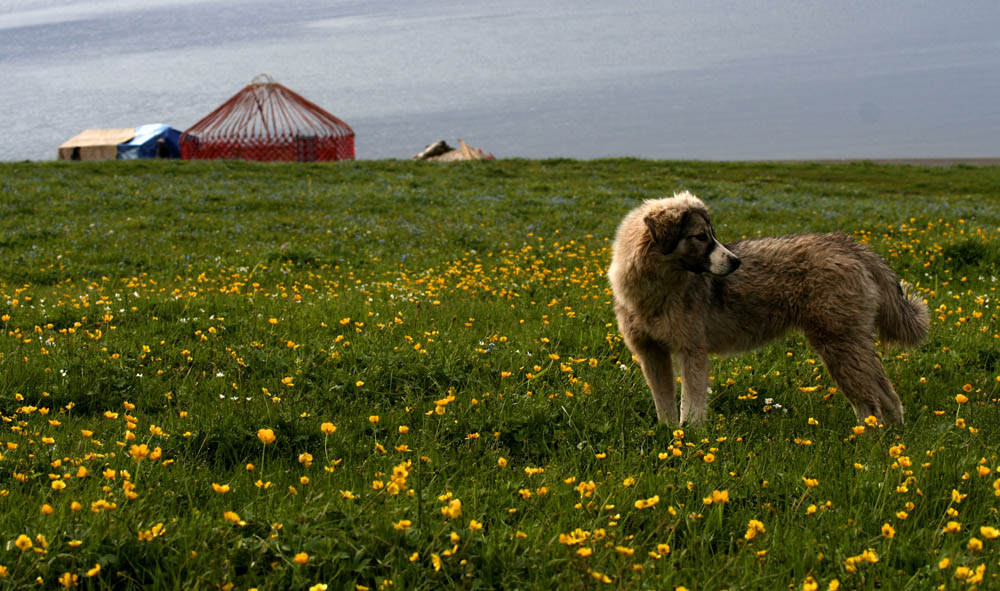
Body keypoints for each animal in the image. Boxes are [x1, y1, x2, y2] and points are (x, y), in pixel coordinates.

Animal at [608, 192, 928, 428]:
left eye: (712, 234)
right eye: (700, 237)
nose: (736, 262)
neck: (654, 289)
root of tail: (850, 246)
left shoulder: (692, 351)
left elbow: (691, 403)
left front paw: (689, 437)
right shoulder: (652, 354)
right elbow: (664, 404)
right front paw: (669, 435)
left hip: (839, 346)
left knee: (870, 402)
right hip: (852, 346)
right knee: (888, 395)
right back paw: (893, 438)